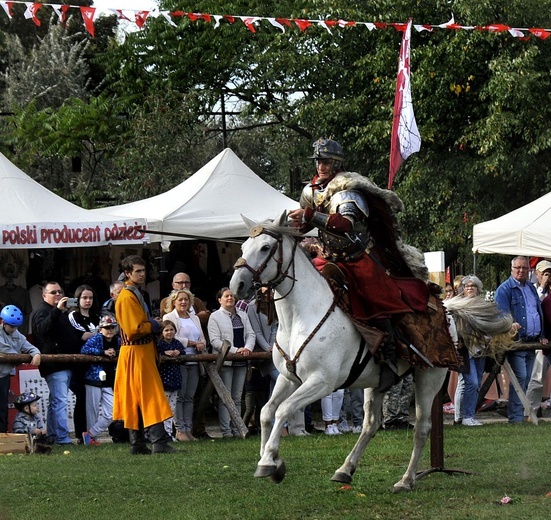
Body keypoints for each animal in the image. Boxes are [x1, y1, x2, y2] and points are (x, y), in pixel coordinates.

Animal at [231, 212, 450, 492]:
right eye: (243, 248)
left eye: (266, 247)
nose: (237, 285)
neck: (301, 315)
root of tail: (444, 307)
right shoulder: (288, 378)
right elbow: (266, 412)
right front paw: (269, 459)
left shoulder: (321, 382)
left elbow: (283, 409)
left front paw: (270, 461)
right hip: (376, 383)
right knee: (370, 425)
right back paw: (345, 469)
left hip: (429, 377)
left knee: (421, 428)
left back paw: (406, 480)